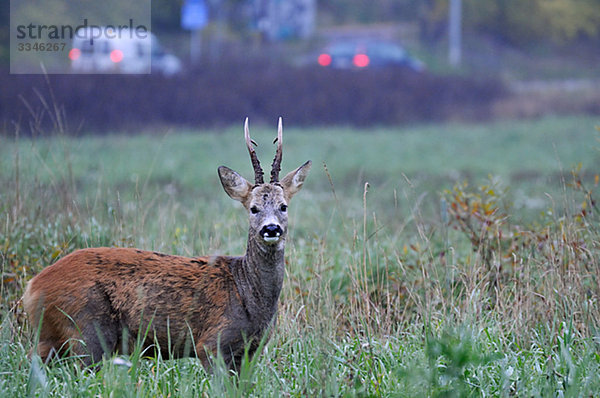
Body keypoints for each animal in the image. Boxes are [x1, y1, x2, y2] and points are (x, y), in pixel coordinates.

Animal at [22, 119, 314, 370]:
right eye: (253, 208)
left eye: (283, 206)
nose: (271, 229)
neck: (247, 292)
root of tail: (32, 287)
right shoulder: (211, 343)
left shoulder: (250, 351)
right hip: (86, 331)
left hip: (55, 338)